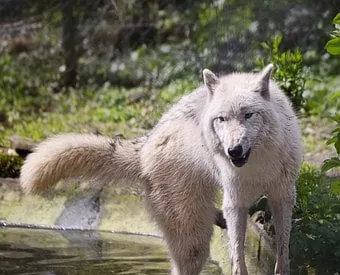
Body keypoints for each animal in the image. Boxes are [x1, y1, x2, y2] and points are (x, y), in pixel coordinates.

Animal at [20, 65, 302, 275]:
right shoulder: (235, 202)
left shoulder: (283, 196)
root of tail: (146, 143)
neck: (258, 165)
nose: (233, 150)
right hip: (193, 238)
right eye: (221, 119)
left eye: (248, 115)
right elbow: (237, 255)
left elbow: (283, 246)